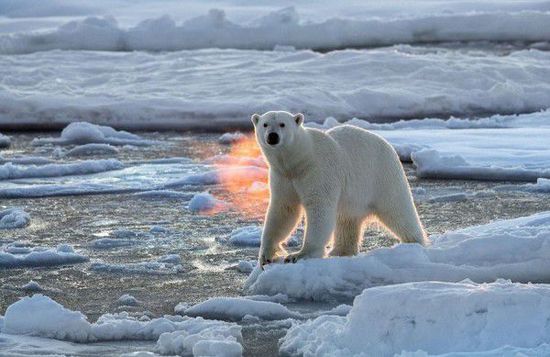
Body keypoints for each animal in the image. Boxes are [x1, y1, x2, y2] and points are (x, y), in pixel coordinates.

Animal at [252, 110, 430, 266]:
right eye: (265, 124)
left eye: (282, 124)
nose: (272, 136)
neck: (299, 161)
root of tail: (389, 146)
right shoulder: (283, 177)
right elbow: (284, 209)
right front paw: (265, 256)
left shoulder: (318, 171)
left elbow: (319, 208)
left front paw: (299, 255)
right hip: (355, 197)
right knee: (347, 220)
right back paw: (340, 251)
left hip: (382, 176)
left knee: (398, 210)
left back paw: (414, 242)